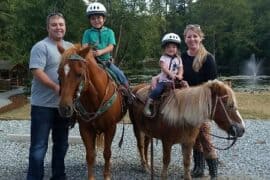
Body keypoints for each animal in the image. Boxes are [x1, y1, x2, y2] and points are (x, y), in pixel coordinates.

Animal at [57, 44, 126, 179]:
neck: (95, 99)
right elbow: (90, 155)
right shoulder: (85, 129)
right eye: (59, 73)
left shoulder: (111, 128)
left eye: (79, 74)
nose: (64, 108)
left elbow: (107, 153)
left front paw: (107, 175)